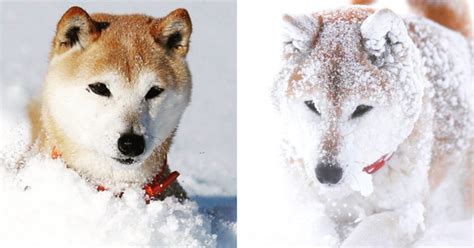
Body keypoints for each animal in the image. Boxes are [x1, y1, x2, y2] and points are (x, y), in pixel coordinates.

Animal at [272, 0, 472, 246]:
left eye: (361, 109)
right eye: (312, 105)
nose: (327, 174)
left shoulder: (410, 213)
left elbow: (370, 230)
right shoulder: (304, 206)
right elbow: (317, 226)